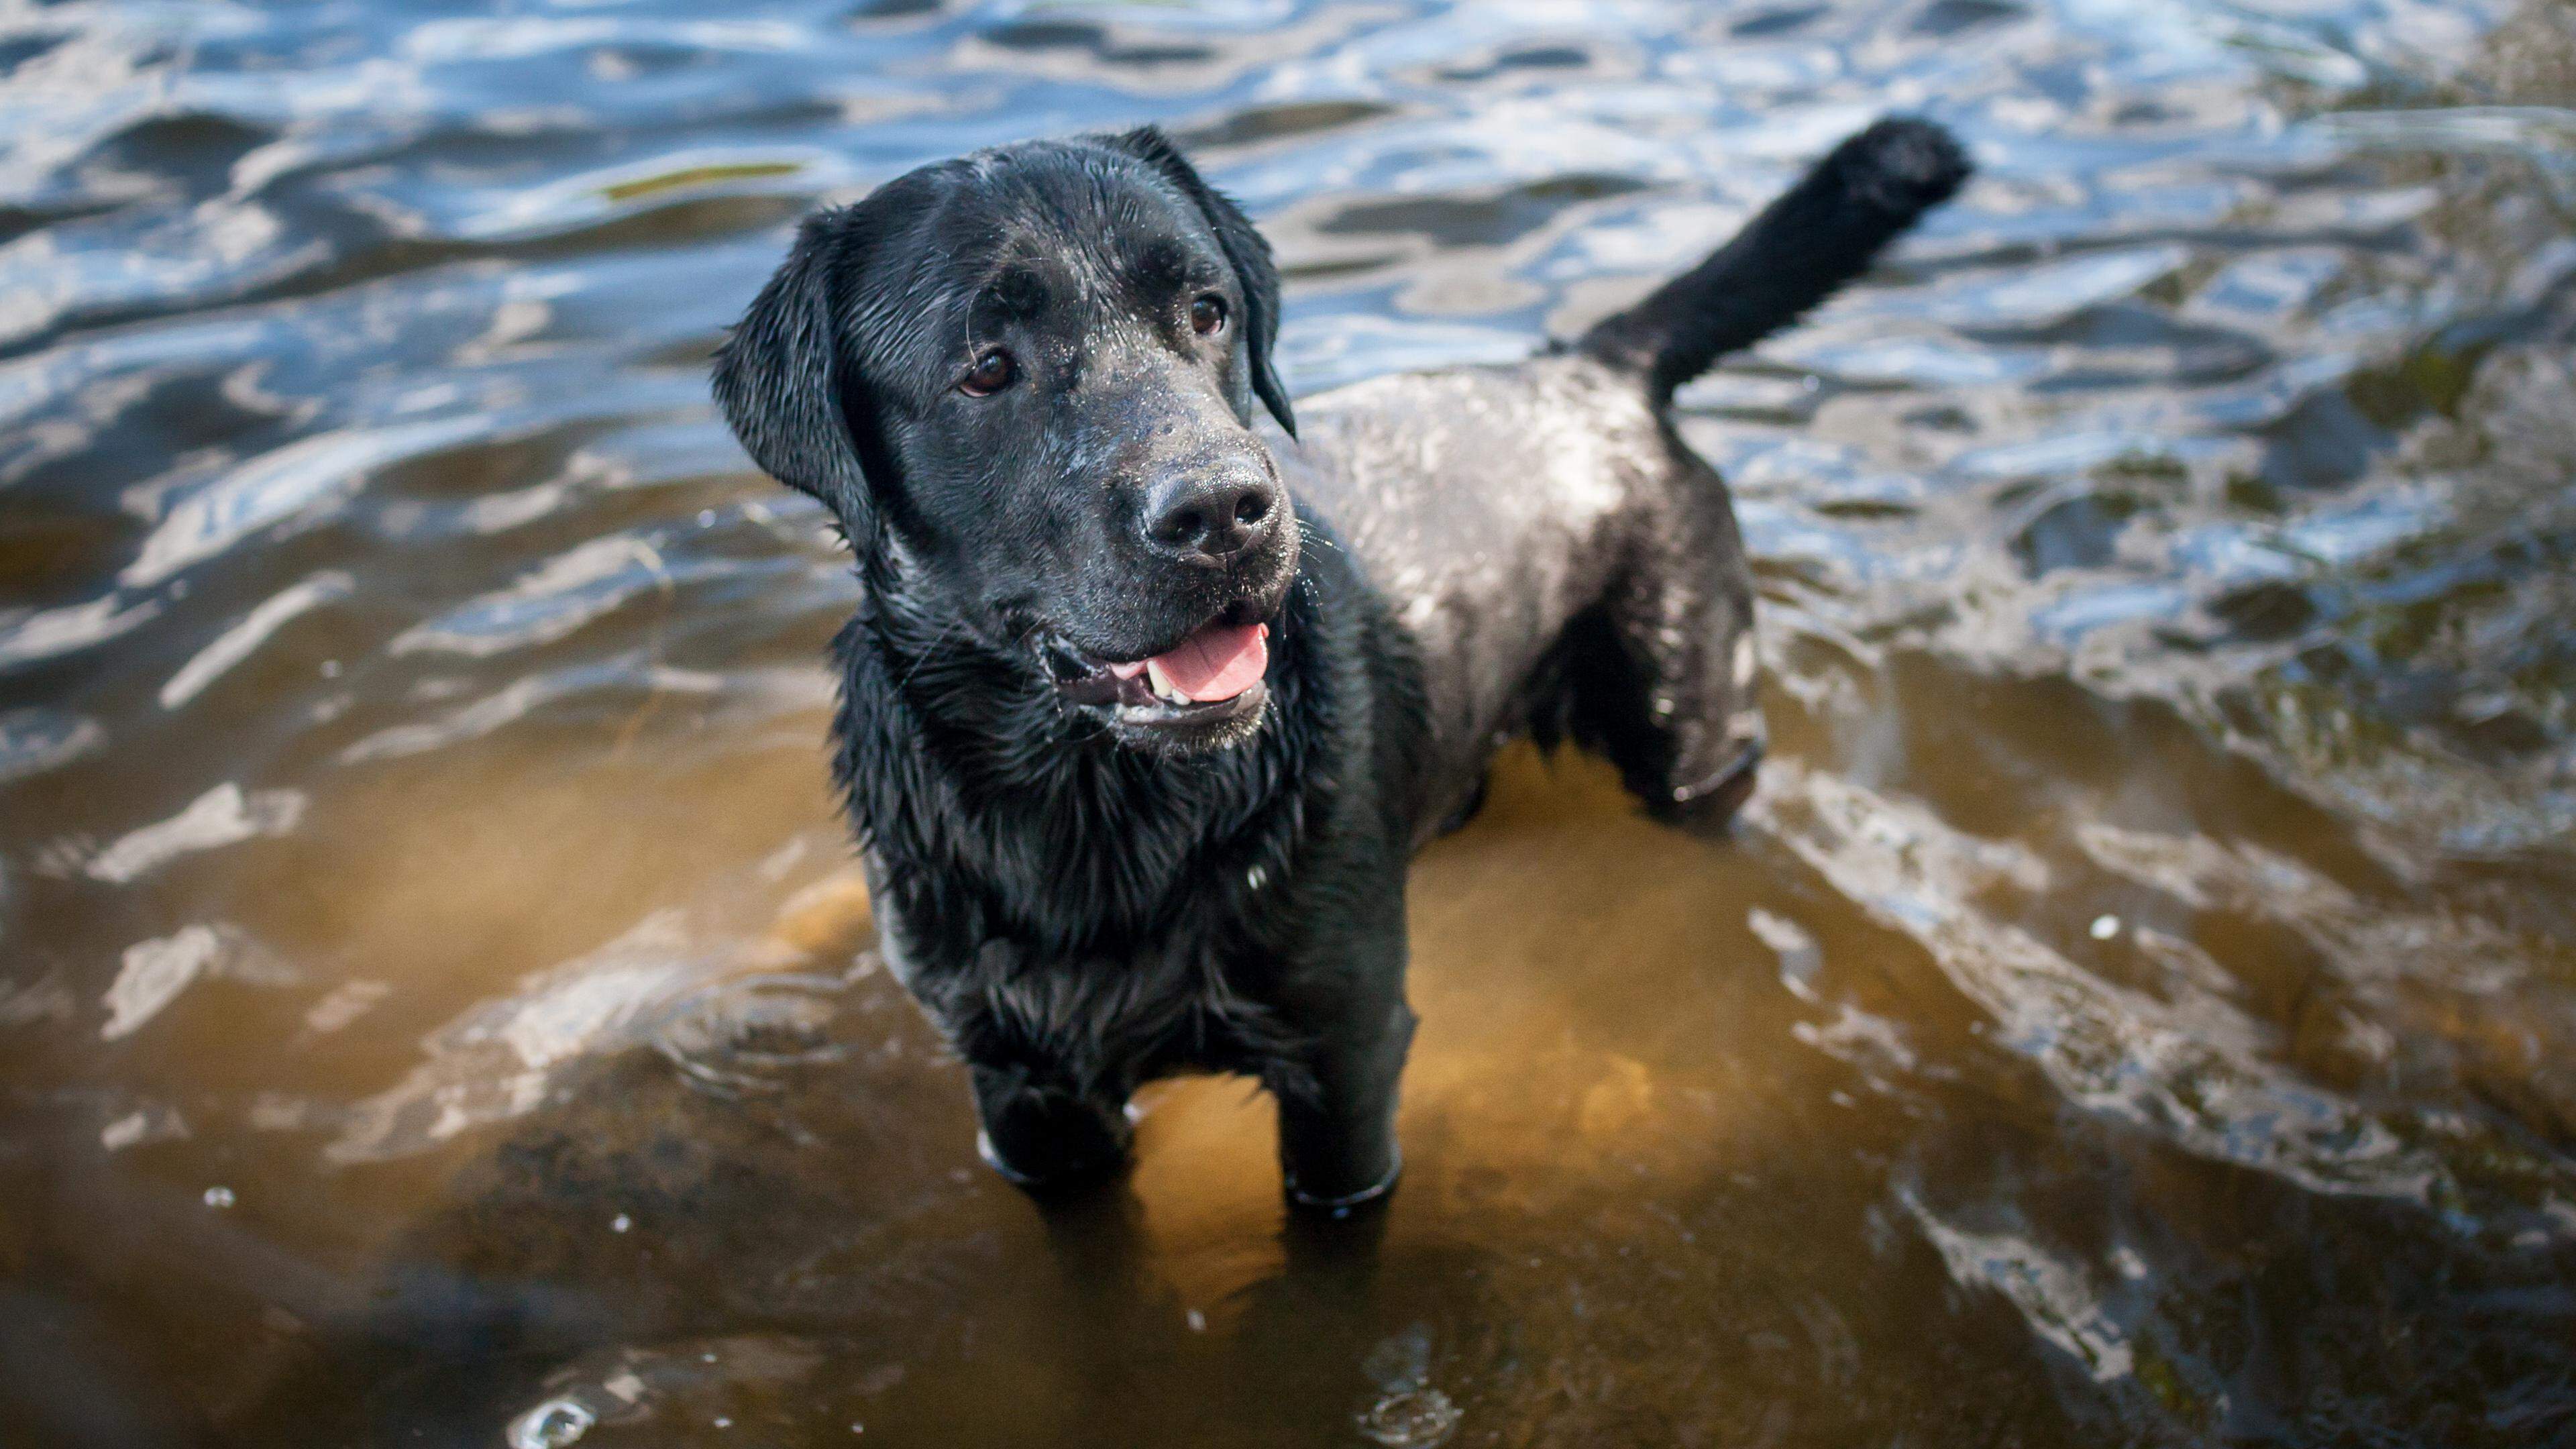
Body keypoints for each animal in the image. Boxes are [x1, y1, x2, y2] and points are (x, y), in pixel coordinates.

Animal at [716, 115, 1957, 1206]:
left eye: (1207, 309)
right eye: (983, 367)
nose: (1224, 510)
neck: (1097, 817)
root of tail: (1592, 367)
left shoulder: (1345, 1053)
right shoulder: (1022, 1095)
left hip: (1689, 723)